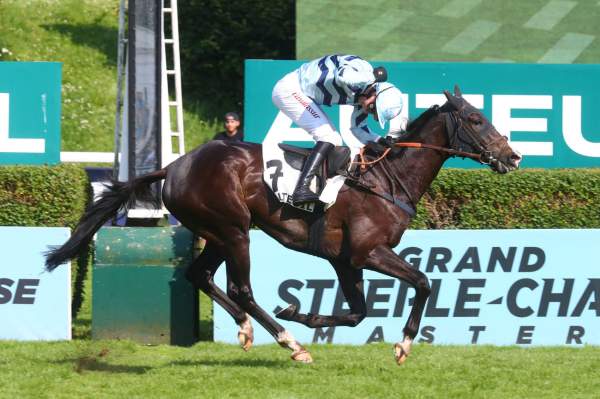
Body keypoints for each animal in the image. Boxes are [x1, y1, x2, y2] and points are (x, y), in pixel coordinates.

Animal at [47, 87, 520, 366]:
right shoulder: (367, 251)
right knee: (240, 287)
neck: (384, 178)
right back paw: (290, 343)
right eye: (476, 120)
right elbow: (422, 282)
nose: (512, 156)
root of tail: (174, 166)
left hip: (219, 232)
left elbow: (359, 311)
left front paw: (304, 313)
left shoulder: (345, 259)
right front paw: (402, 344)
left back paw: (247, 329)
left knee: (199, 275)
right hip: (234, 231)